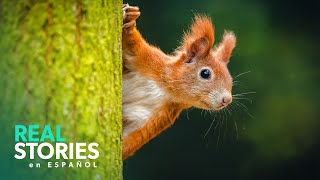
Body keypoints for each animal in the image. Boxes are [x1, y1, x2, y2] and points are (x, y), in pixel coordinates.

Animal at [121, 3, 236, 160]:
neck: (164, 90)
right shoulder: (147, 60)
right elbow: (132, 44)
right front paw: (130, 19)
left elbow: (134, 138)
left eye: (231, 79)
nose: (227, 100)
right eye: (205, 73)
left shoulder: (157, 116)